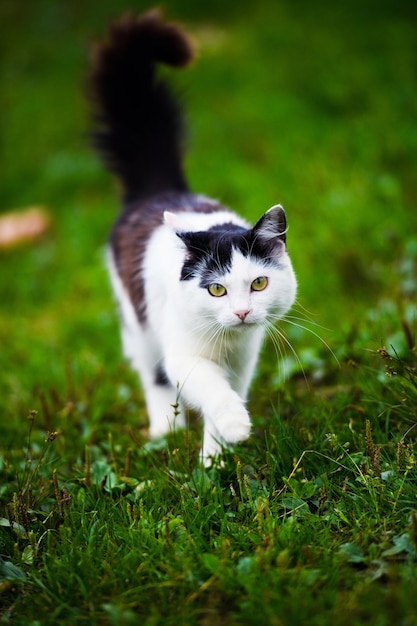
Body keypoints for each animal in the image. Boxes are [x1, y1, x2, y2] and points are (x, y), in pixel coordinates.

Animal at [88, 7, 296, 460]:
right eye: (216, 289)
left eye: (258, 283)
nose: (242, 312)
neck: (227, 342)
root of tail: (161, 187)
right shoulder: (182, 353)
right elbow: (209, 388)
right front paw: (234, 428)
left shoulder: (243, 361)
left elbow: (226, 395)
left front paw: (216, 458)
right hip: (139, 325)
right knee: (153, 376)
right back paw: (164, 430)